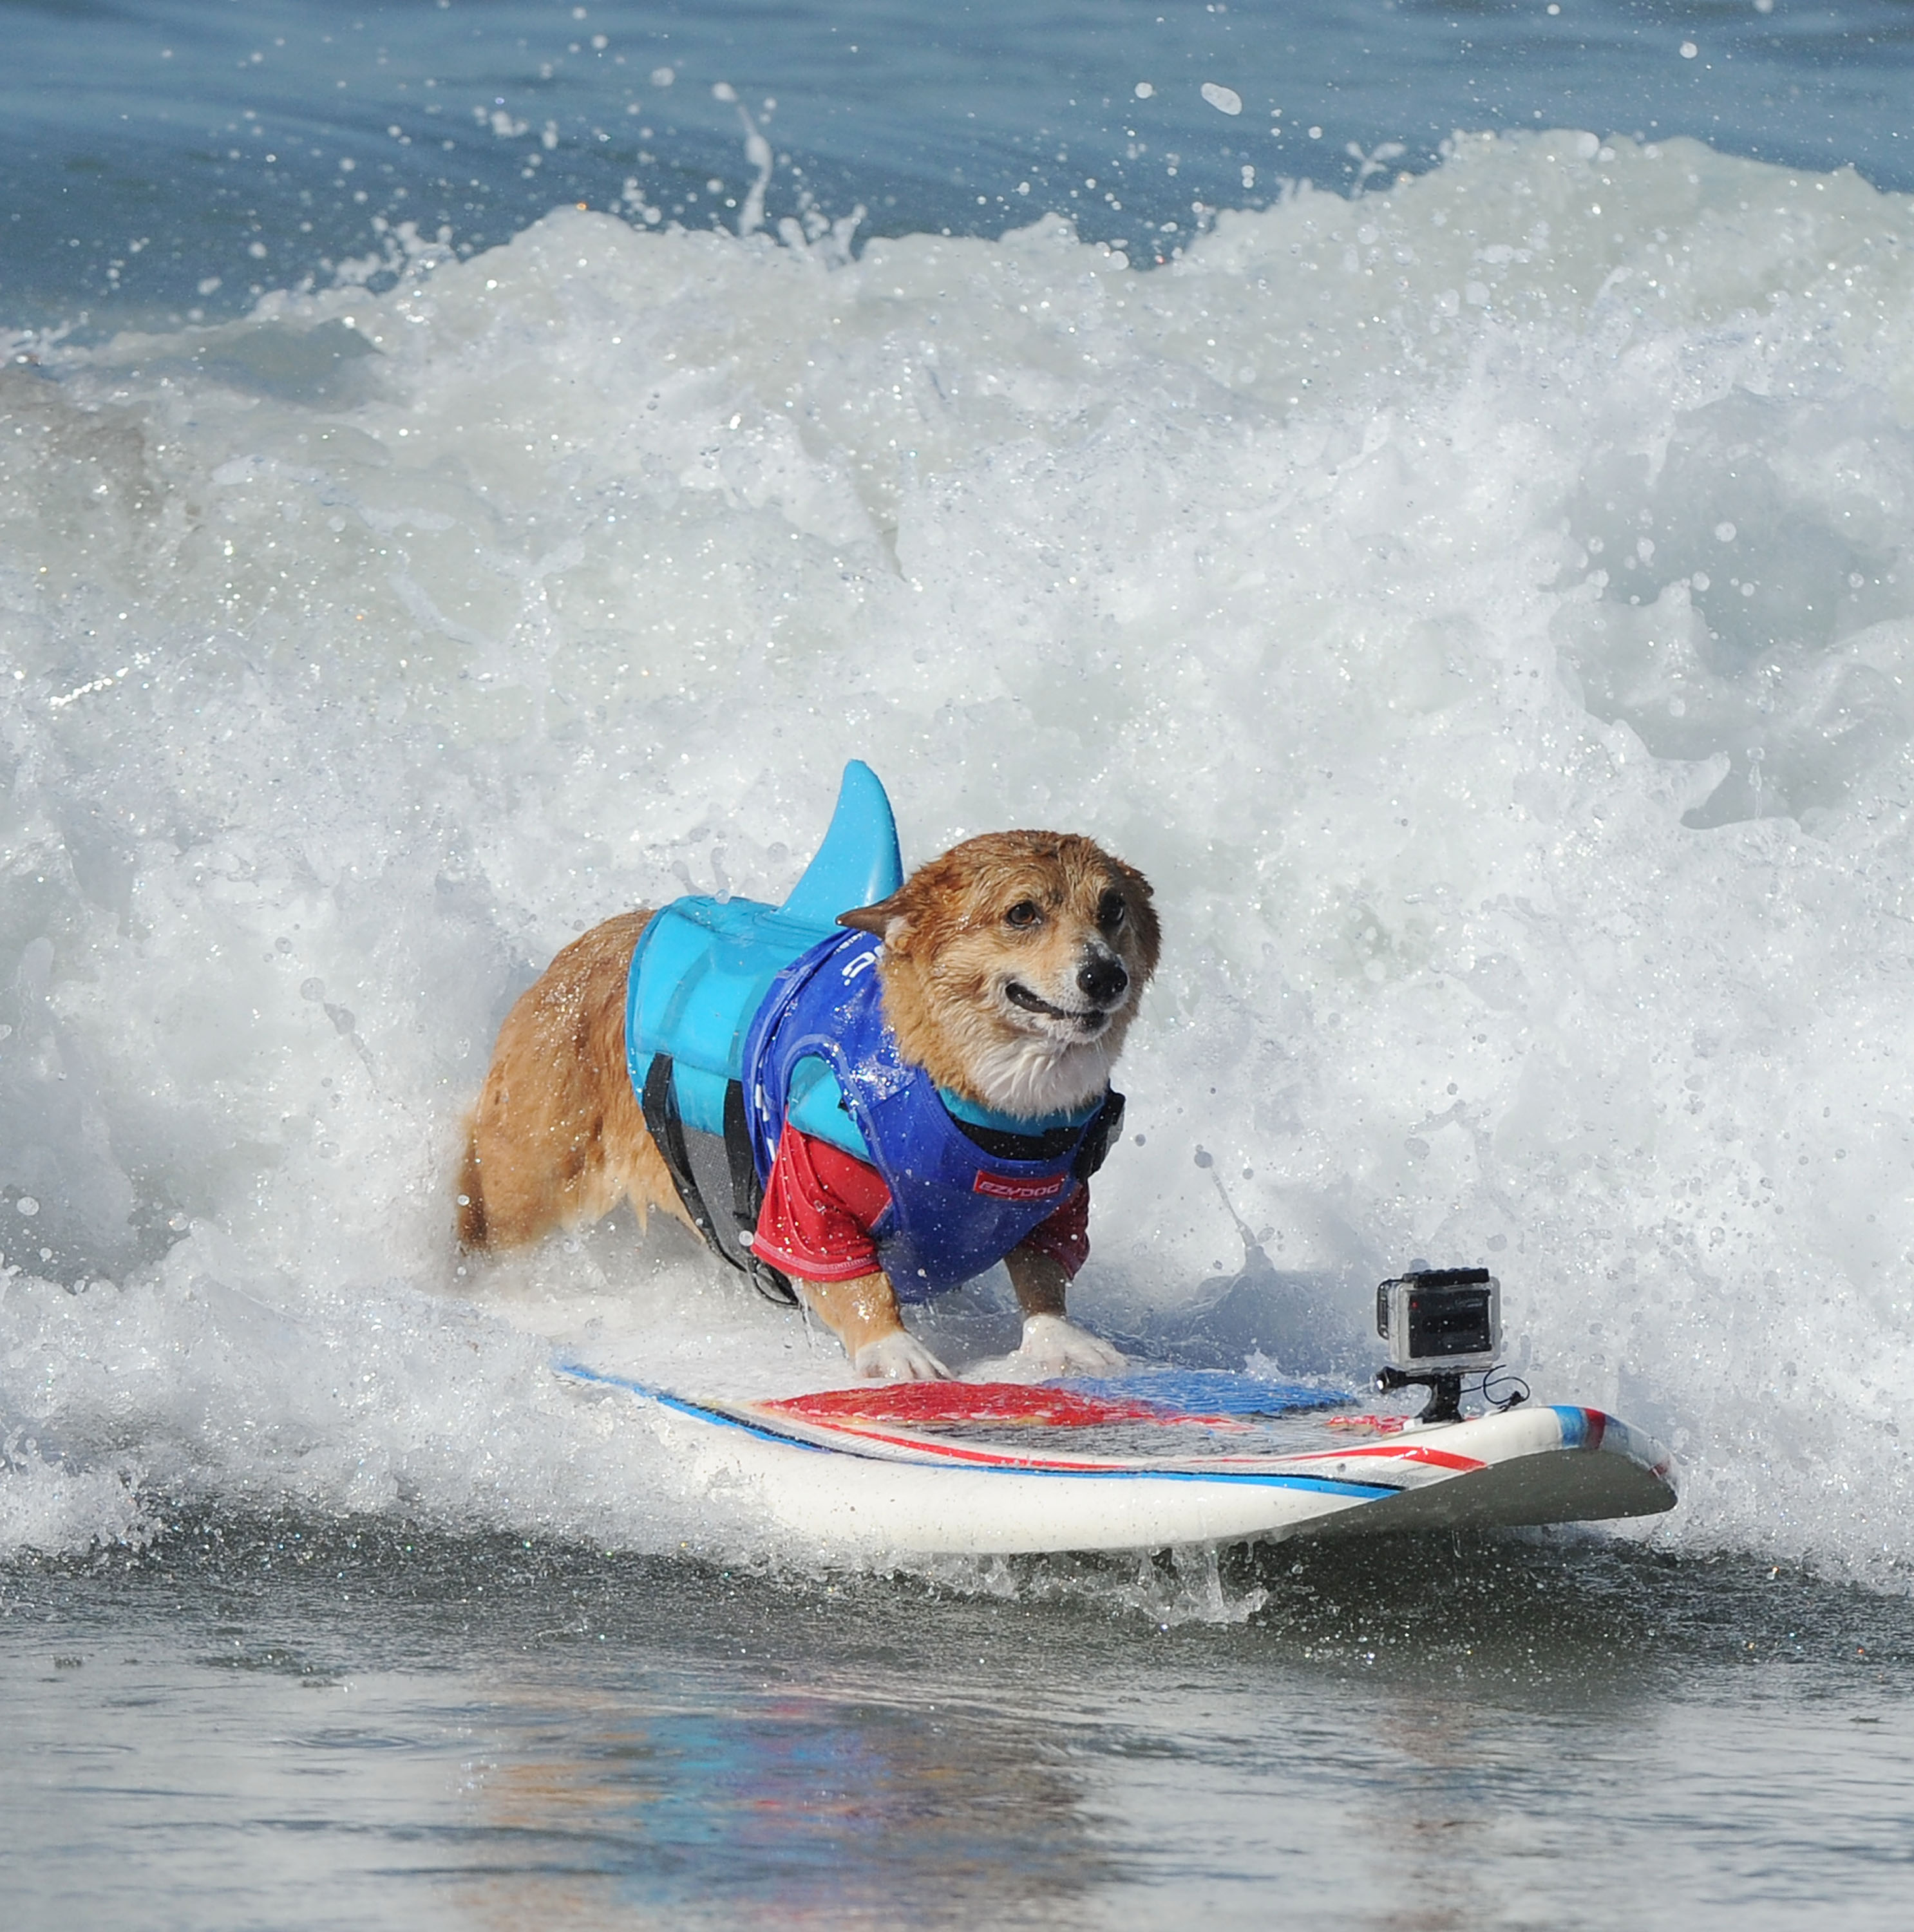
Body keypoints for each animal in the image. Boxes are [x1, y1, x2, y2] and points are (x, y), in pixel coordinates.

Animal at [455, 827, 1159, 1376]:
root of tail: (578, 955)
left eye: (1112, 909)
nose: (1105, 976)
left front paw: (1061, 1341)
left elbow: (1042, 1273)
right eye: (1021, 914)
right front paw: (895, 1352)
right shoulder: (805, 1198)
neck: (989, 1107)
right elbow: (854, 1281)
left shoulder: (1058, 1204)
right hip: (529, 1186)